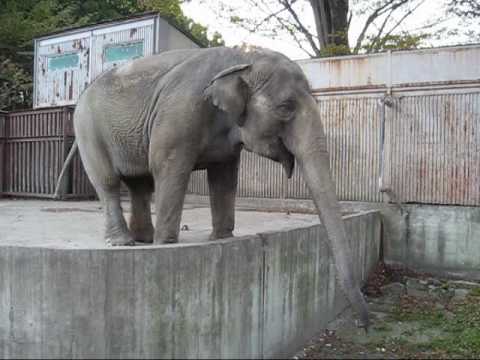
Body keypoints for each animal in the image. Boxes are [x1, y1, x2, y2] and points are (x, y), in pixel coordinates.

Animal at [57, 45, 372, 330]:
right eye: (285, 108)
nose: (364, 325)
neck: (245, 58)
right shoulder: (180, 113)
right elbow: (168, 165)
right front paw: (165, 246)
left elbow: (224, 176)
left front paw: (221, 239)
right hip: (88, 128)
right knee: (109, 181)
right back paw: (125, 243)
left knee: (140, 184)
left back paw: (143, 240)